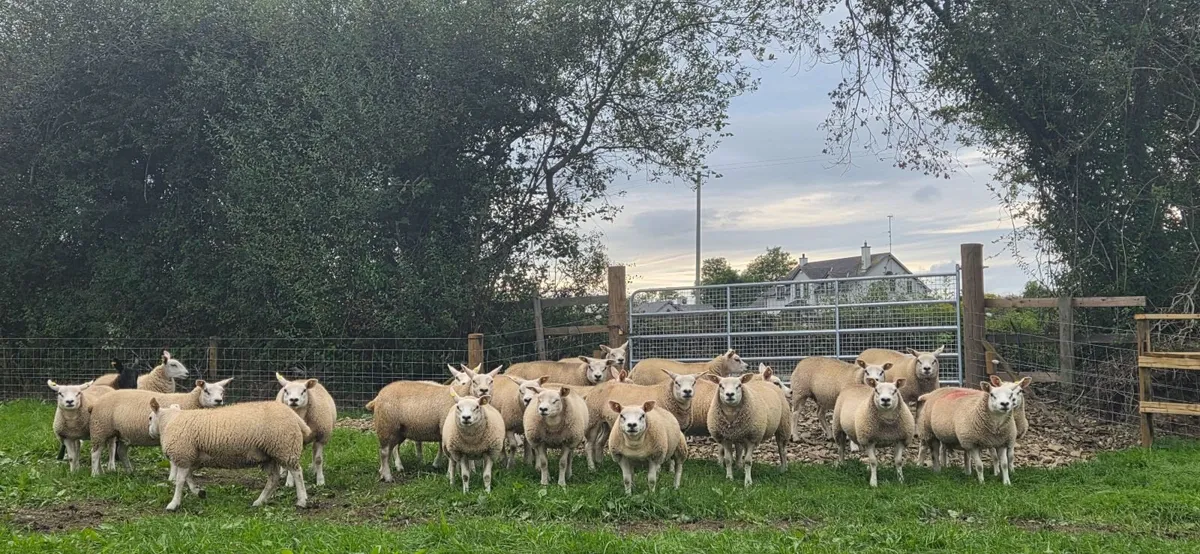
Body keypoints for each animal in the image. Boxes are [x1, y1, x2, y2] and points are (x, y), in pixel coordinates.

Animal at [87, 378, 232, 476]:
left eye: (222, 392)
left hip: (122, 432)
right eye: (206, 391)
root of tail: (95, 404)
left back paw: (129, 471)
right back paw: (95, 474)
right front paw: (172, 479)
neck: (189, 401)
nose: (219, 401)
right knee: (95, 452)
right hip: (100, 427)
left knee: (121, 451)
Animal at [149, 398, 311, 511]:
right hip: (269, 455)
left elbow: (180, 480)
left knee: (297, 472)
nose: (149, 432)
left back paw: (302, 501)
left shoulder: (183, 454)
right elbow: (188, 477)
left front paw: (174, 503)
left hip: (285, 447)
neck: (168, 422)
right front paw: (199, 492)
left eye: (150, 418)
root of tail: (295, 417)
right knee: (273, 478)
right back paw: (260, 501)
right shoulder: (192, 457)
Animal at [365, 364, 497, 482]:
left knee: (389, 449)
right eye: (474, 381)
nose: (484, 390)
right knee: (384, 451)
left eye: (491, 381)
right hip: (387, 425)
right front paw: (450, 473)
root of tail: (378, 396)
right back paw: (388, 476)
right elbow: (449, 454)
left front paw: (469, 470)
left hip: (399, 430)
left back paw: (383, 472)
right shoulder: (446, 429)